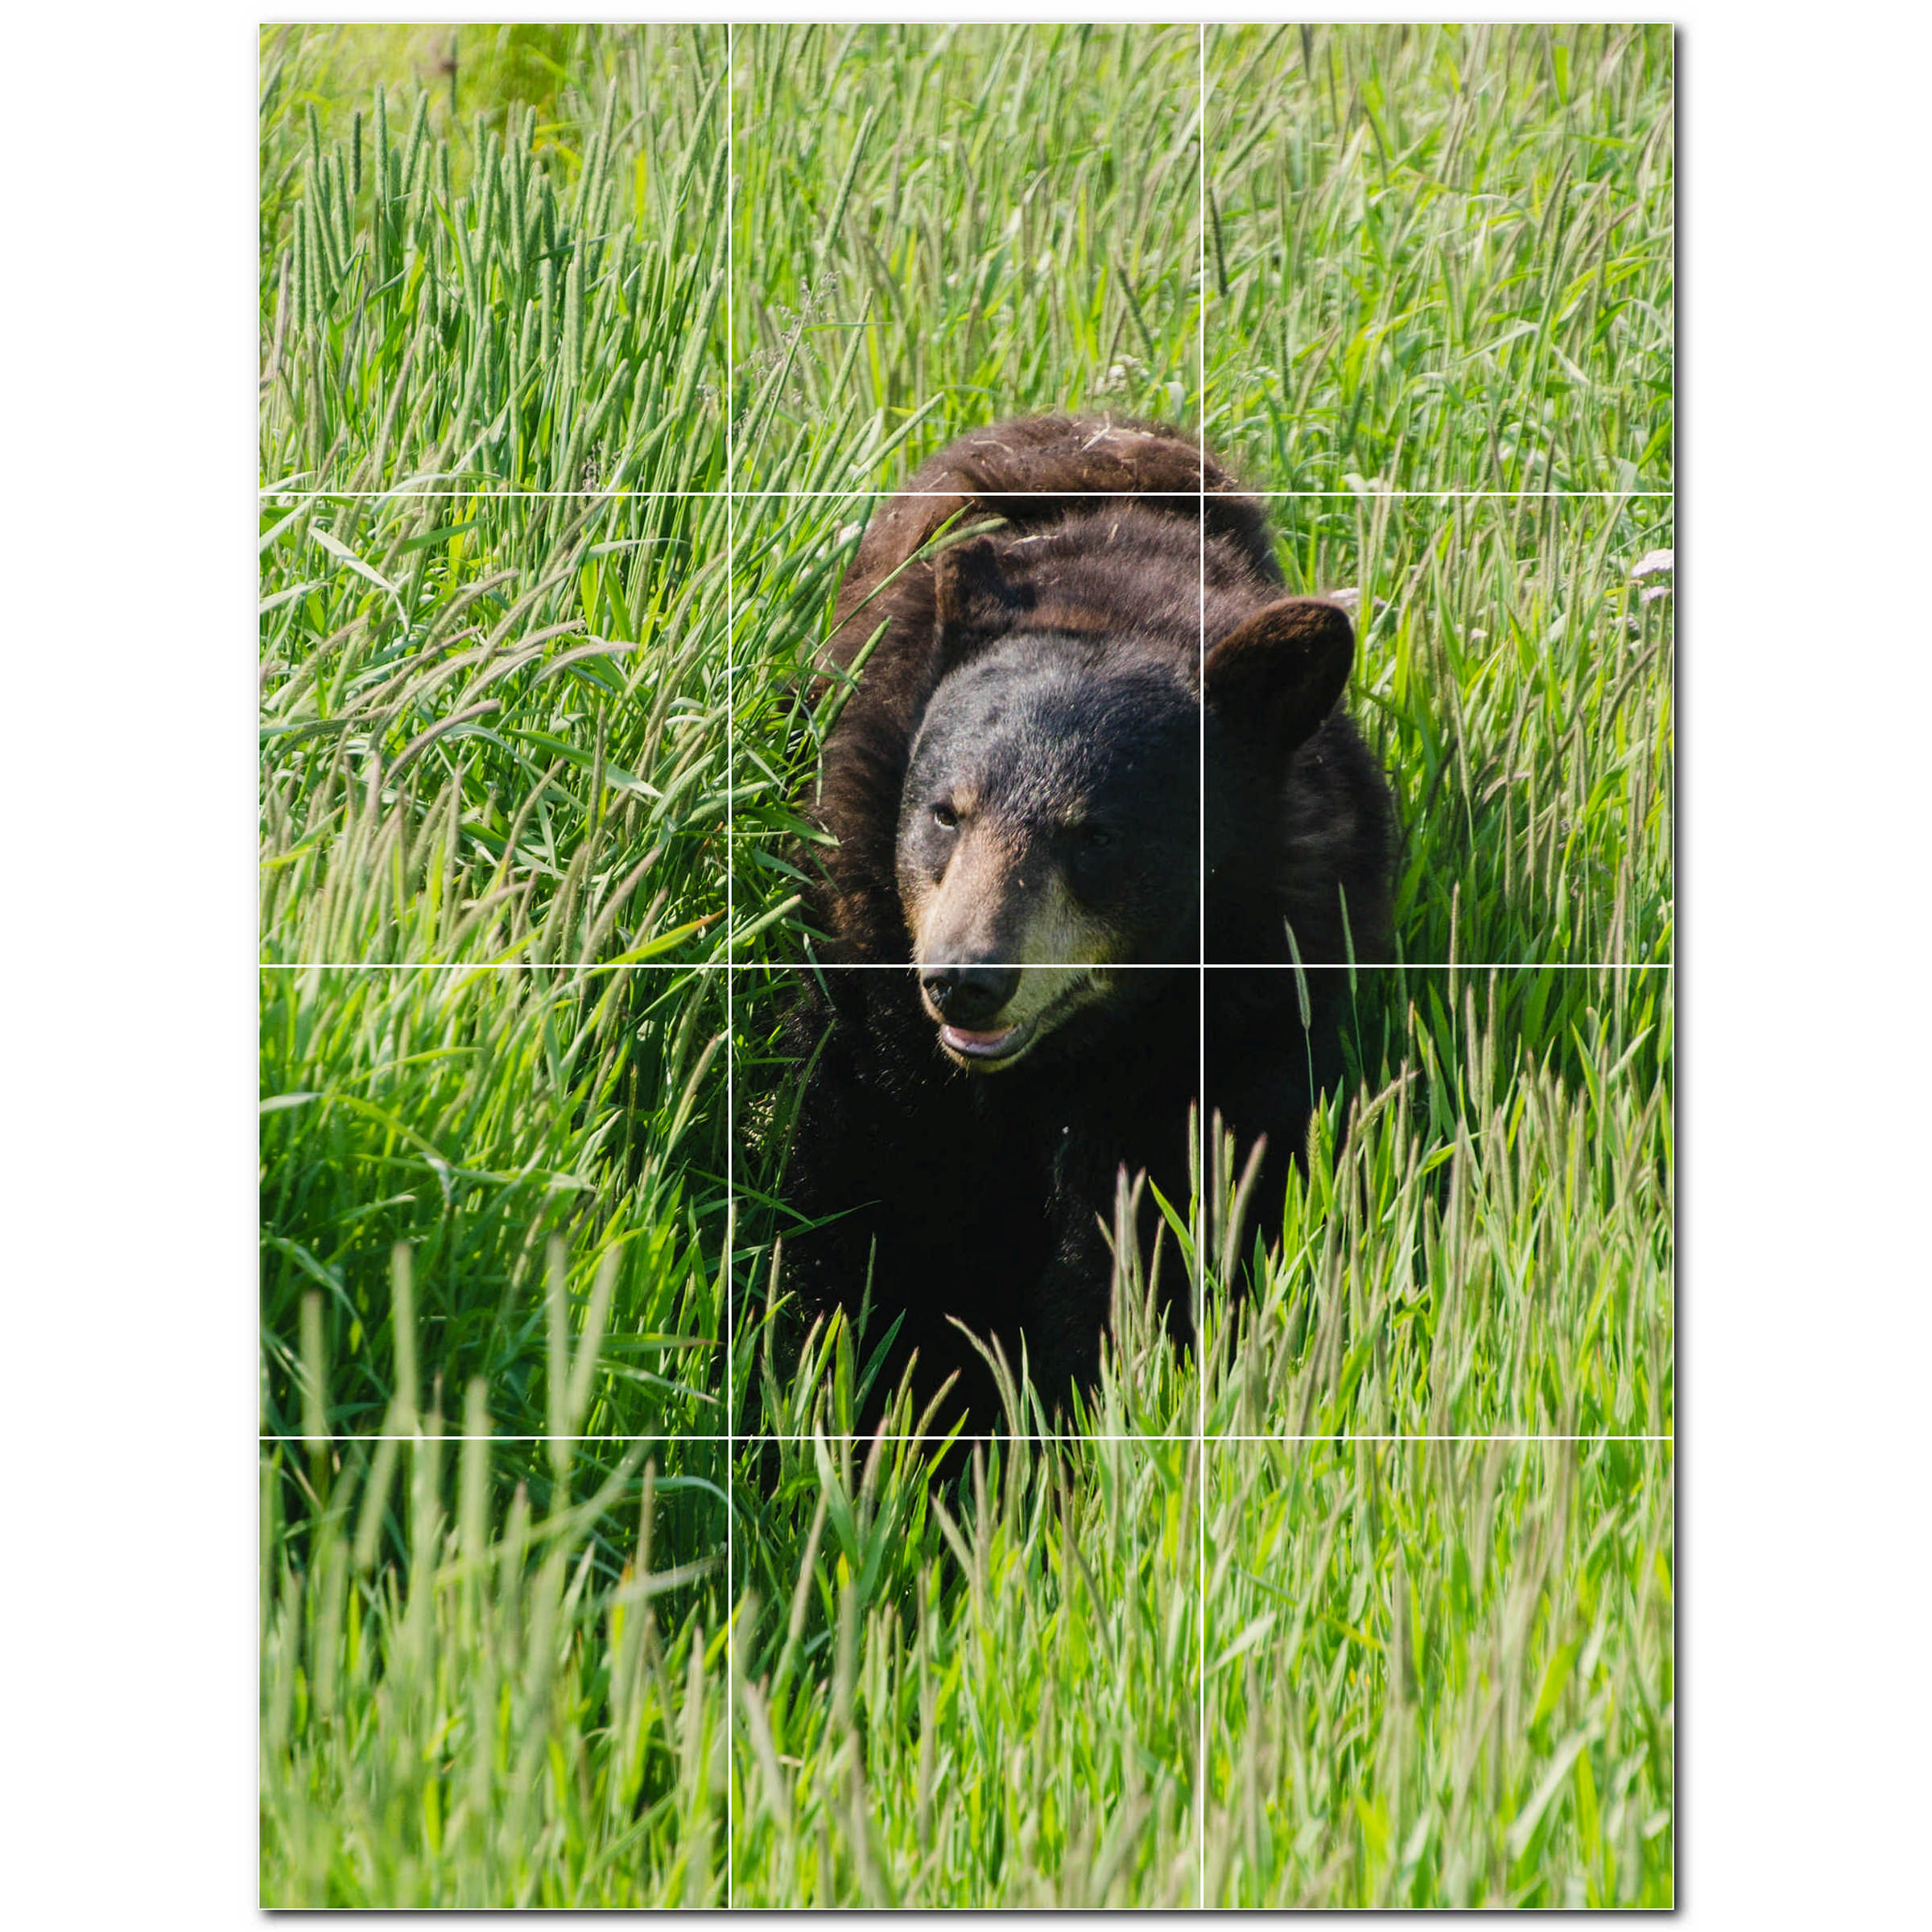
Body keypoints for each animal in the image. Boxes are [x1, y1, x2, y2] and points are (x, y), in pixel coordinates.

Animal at [775, 415, 1393, 1437]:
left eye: (1095, 834)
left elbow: (1165, 1229)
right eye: (947, 812)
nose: (966, 979)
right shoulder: (874, 983)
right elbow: (880, 1194)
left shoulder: (1237, 1015)